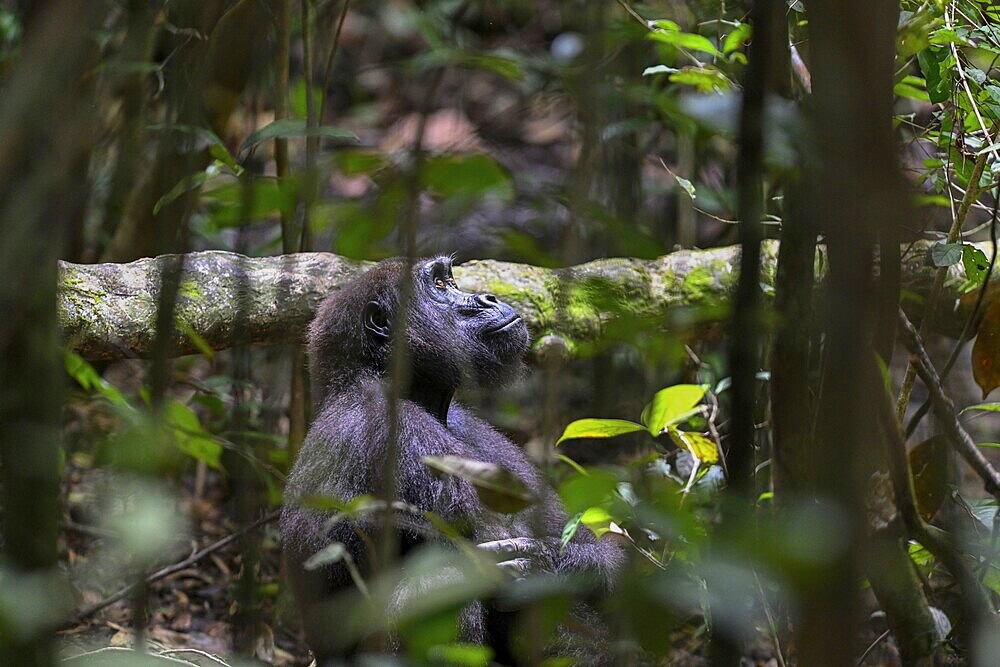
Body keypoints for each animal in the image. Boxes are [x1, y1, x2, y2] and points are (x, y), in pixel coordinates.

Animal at [282, 256, 620, 664]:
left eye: (450, 279)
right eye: (440, 285)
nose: (489, 297)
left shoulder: (475, 428)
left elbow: (593, 549)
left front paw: (553, 563)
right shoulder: (398, 431)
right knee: (442, 578)